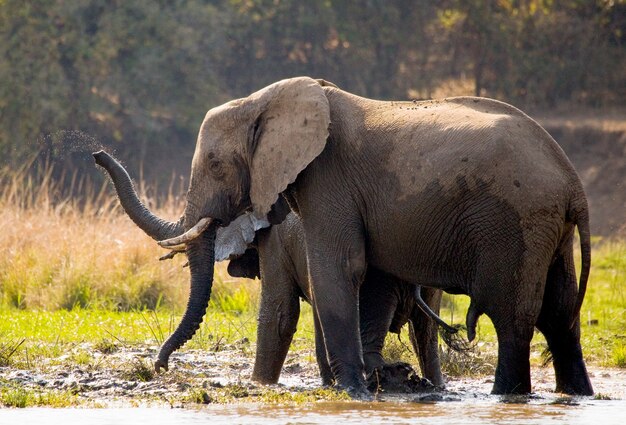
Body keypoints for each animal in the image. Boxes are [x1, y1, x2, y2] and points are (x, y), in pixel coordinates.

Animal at [92, 150, 454, 390]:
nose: (160, 366)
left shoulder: (277, 240)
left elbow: (279, 313)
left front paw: (259, 384)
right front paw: (327, 386)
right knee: (424, 329)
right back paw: (432, 386)